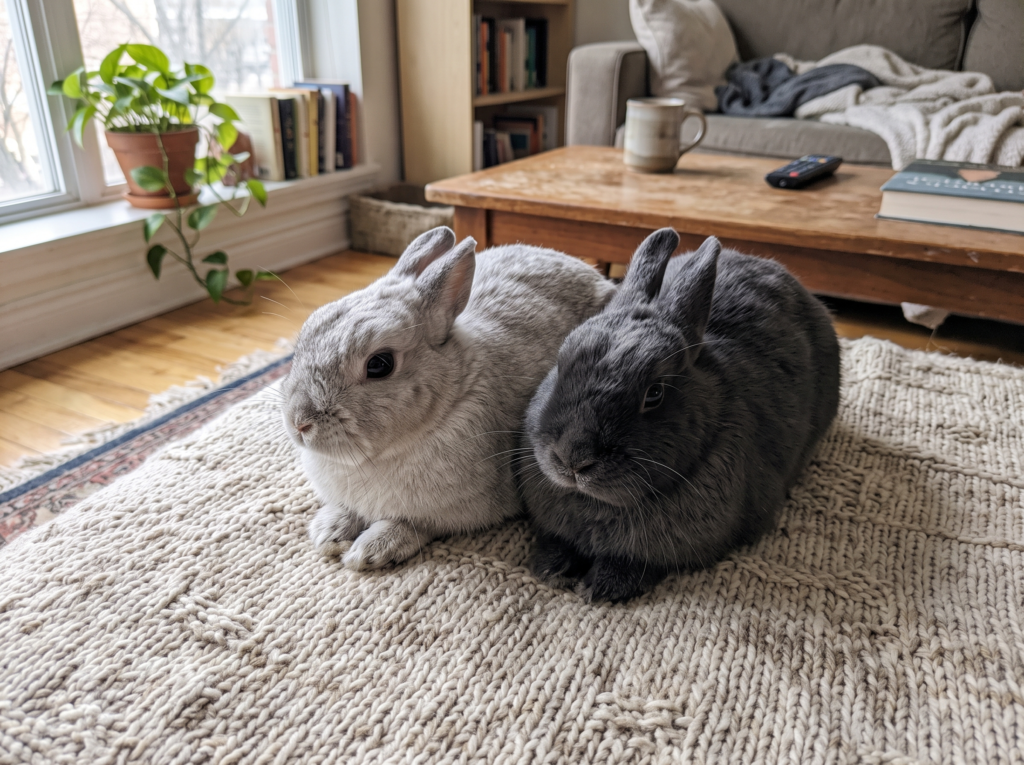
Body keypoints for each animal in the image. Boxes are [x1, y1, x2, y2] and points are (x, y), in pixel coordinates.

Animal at [282, 226, 616, 571]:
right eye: (306, 331)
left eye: (379, 364)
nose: (299, 423)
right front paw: (329, 532)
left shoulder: (451, 514)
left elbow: (414, 525)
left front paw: (370, 551)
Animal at [517, 228, 841, 602]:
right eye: (561, 362)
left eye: (654, 394)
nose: (573, 459)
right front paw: (549, 569)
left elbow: (637, 563)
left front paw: (602, 587)